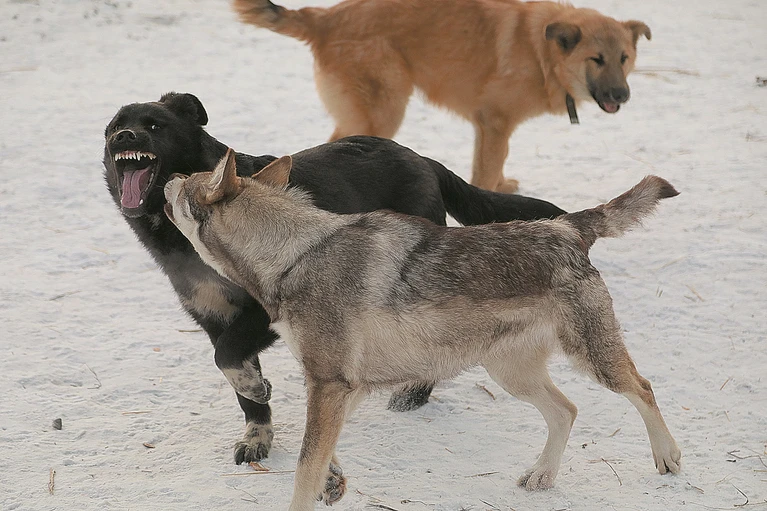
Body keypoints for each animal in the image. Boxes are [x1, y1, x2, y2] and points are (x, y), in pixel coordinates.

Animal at [103, 92, 565, 465]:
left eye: (155, 125)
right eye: (113, 127)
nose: (123, 137)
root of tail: (420, 158)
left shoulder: (265, 312)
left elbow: (228, 356)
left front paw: (256, 388)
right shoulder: (213, 318)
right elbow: (234, 373)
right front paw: (257, 431)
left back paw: (415, 393)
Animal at [164, 149, 681, 510]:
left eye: (188, 182)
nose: (168, 178)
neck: (296, 254)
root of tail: (566, 227)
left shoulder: (329, 384)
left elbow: (304, 470)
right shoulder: (342, 387)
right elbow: (322, 456)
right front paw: (335, 483)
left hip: (591, 359)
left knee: (643, 388)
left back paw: (668, 458)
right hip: (511, 375)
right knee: (567, 411)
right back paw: (541, 477)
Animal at [233, 0, 651, 193]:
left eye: (624, 58)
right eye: (596, 59)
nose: (622, 94)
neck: (541, 51)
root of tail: (324, 17)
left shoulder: (490, 128)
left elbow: (495, 165)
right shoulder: (495, 122)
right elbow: (486, 170)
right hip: (384, 111)